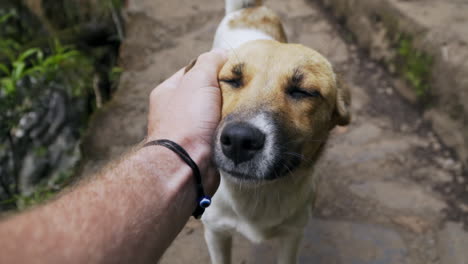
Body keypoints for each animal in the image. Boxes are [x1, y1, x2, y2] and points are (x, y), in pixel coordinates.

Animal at [201, 1, 352, 262]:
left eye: (303, 91)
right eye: (231, 80)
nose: (239, 140)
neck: (258, 196)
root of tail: (251, 8)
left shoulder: (293, 235)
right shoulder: (215, 232)